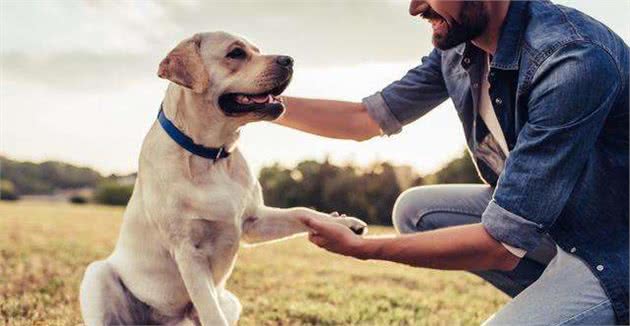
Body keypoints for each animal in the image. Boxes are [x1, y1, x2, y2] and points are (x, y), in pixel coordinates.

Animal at [79, 31, 368, 326]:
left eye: (257, 50)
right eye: (236, 53)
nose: (289, 60)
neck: (211, 155)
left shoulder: (253, 220)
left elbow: (301, 211)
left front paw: (343, 223)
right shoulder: (187, 250)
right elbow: (211, 311)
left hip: (231, 300)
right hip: (97, 275)